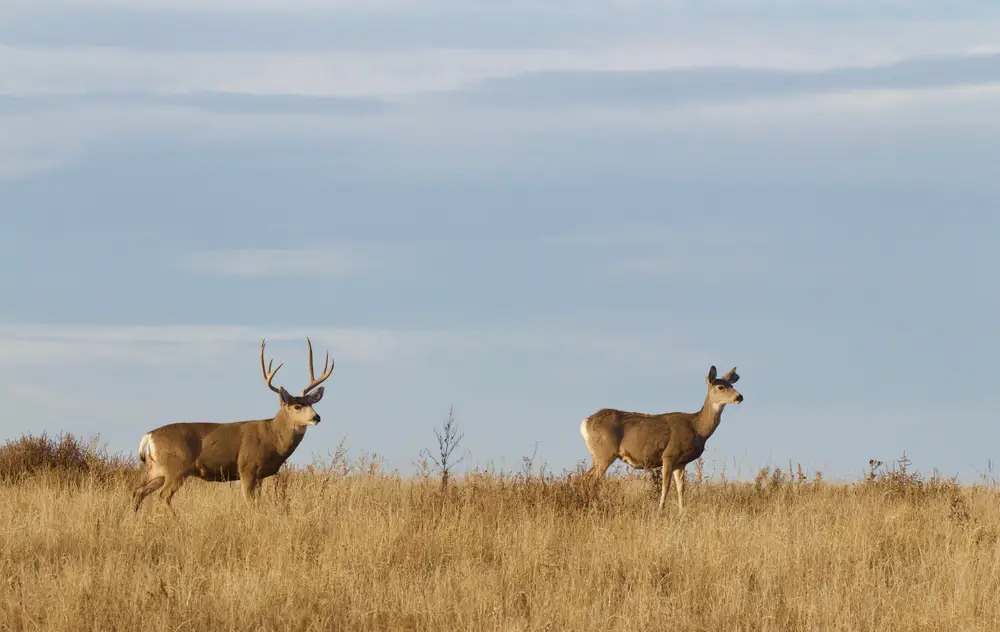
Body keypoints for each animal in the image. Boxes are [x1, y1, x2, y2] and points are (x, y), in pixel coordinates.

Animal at [132, 337, 334, 512]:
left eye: (312, 404)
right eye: (297, 406)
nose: (317, 417)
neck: (273, 436)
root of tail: (148, 436)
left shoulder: (259, 475)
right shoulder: (247, 467)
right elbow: (251, 504)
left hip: (156, 470)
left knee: (138, 492)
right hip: (176, 467)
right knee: (163, 496)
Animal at [579, 365, 743, 513]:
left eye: (732, 385)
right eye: (721, 387)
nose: (739, 397)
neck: (697, 428)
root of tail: (585, 422)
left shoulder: (681, 462)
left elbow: (681, 488)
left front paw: (682, 512)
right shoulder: (669, 454)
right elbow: (666, 485)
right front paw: (660, 510)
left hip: (598, 455)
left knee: (585, 478)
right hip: (605, 452)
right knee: (592, 480)